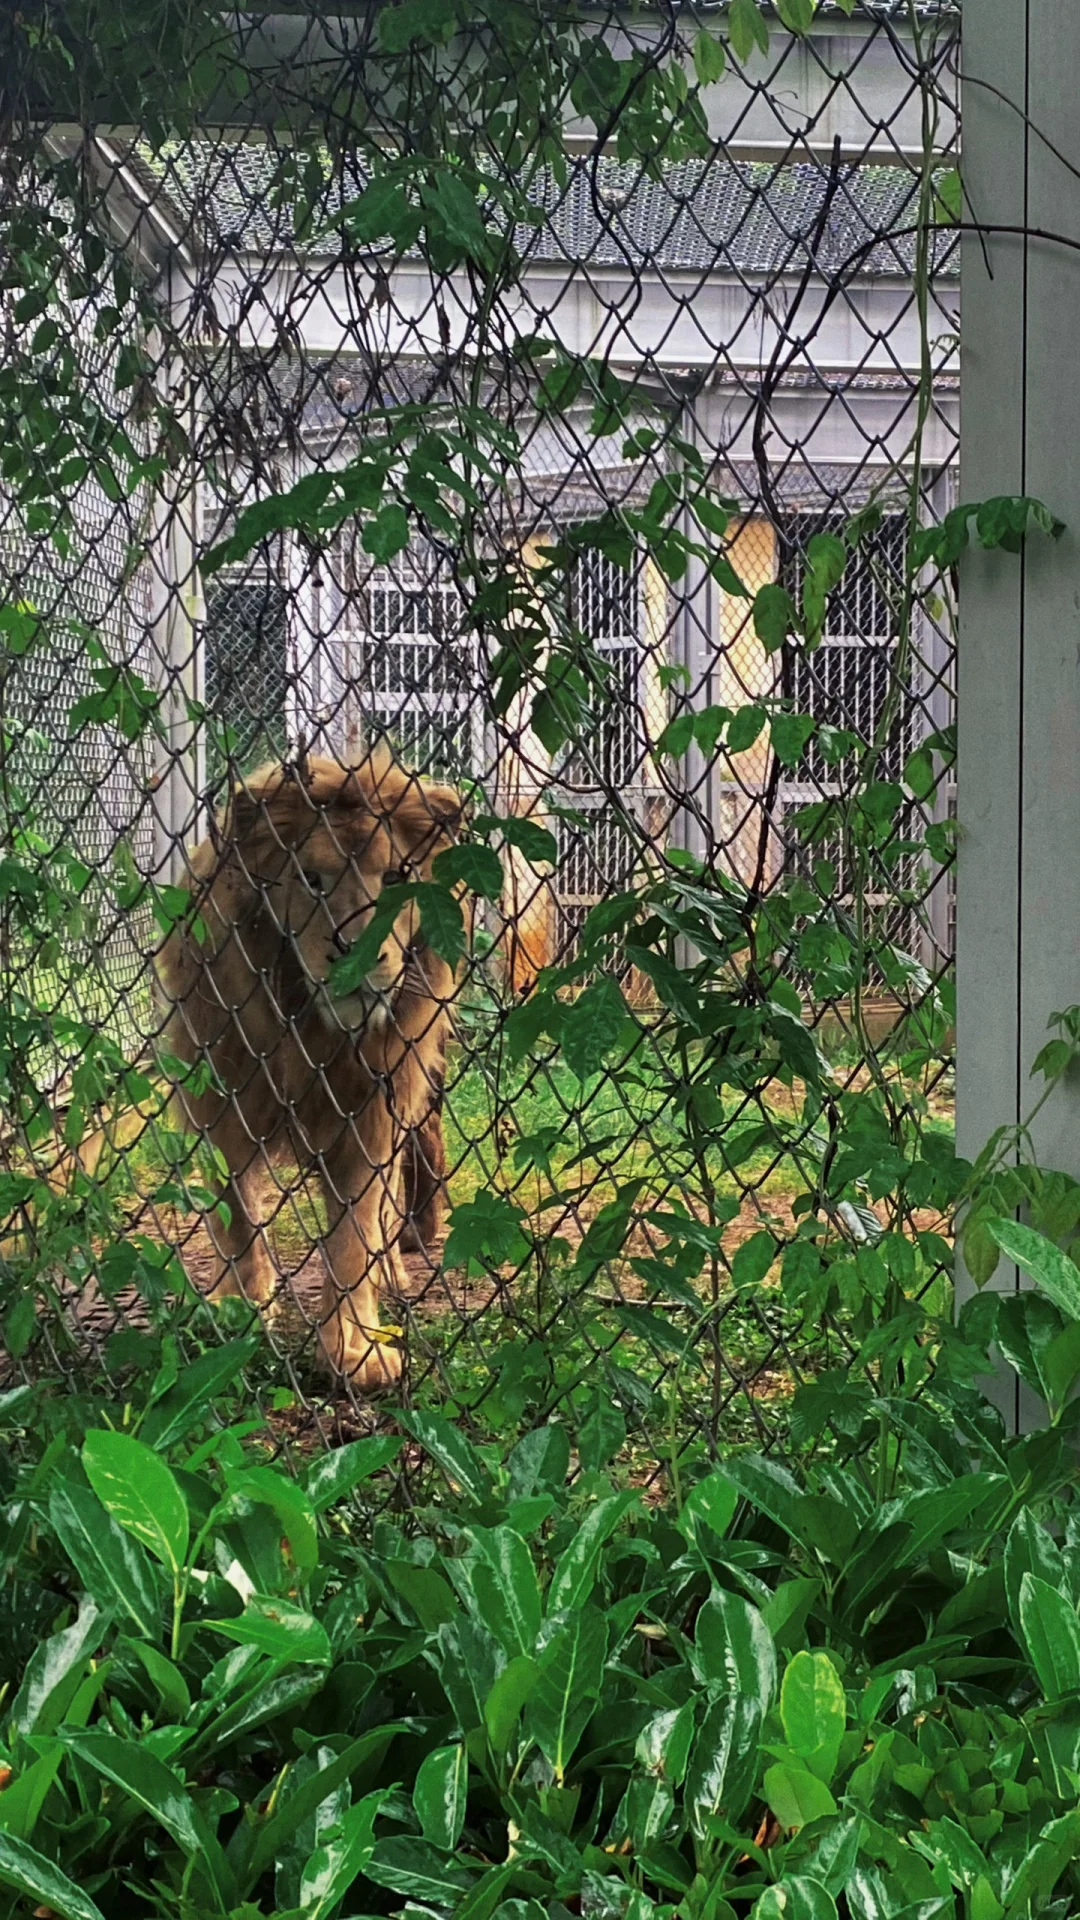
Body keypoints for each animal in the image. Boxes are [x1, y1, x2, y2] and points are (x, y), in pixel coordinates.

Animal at [157, 741, 461, 1390]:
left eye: (395, 878)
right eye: (312, 880)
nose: (359, 954)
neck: (310, 1035)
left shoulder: (370, 1116)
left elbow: (353, 1236)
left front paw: (354, 1350)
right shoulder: (224, 1106)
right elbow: (239, 1218)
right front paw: (237, 1309)